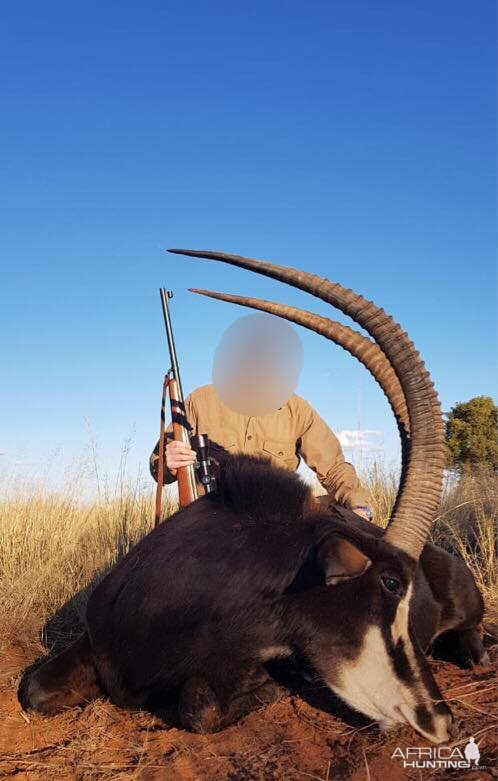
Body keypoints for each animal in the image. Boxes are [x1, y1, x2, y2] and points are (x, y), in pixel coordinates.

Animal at [18, 251, 486, 744]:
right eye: (391, 583)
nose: (441, 721)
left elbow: (199, 706)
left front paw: (275, 686)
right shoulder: (95, 643)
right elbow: (33, 690)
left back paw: (476, 653)